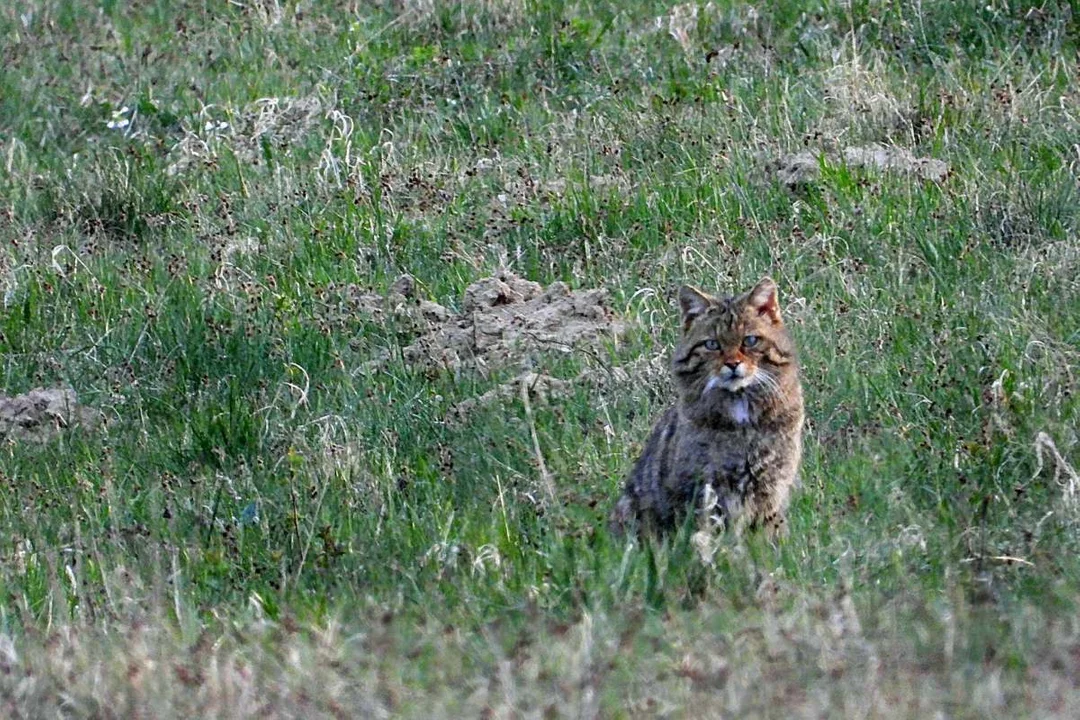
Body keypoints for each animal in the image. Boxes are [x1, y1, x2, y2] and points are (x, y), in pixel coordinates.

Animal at [609, 278, 803, 537]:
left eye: (749, 340)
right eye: (712, 344)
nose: (733, 364)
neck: (740, 407)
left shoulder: (771, 487)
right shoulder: (701, 489)